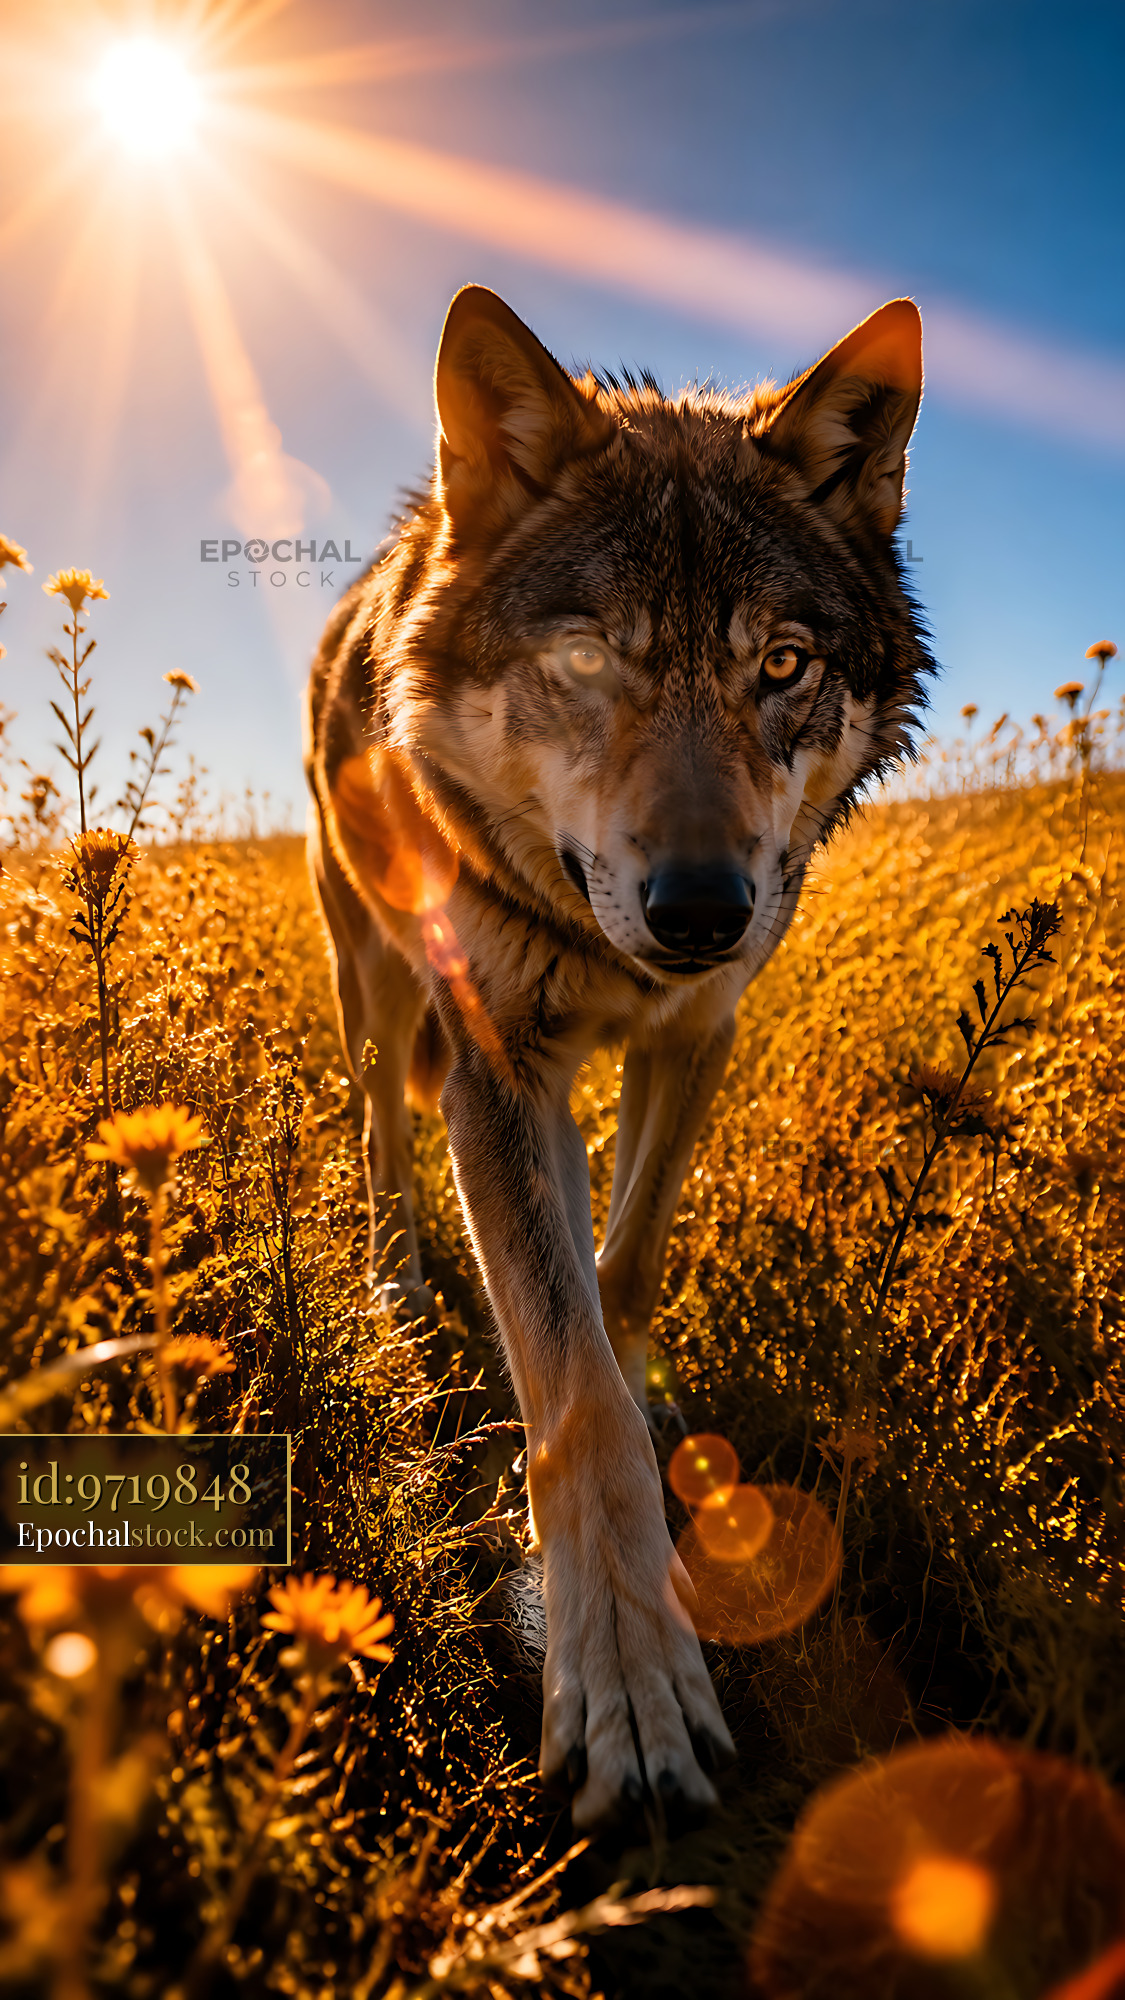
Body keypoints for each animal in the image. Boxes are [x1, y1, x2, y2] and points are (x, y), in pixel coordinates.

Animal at [305, 284, 931, 1829]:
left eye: (782, 664)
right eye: (592, 660)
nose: (702, 910)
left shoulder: (698, 1033)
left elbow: (625, 1268)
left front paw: (643, 1383)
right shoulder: (494, 1065)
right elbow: (569, 1387)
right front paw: (633, 1691)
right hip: (376, 987)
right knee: (382, 1132)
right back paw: (399, 1284)